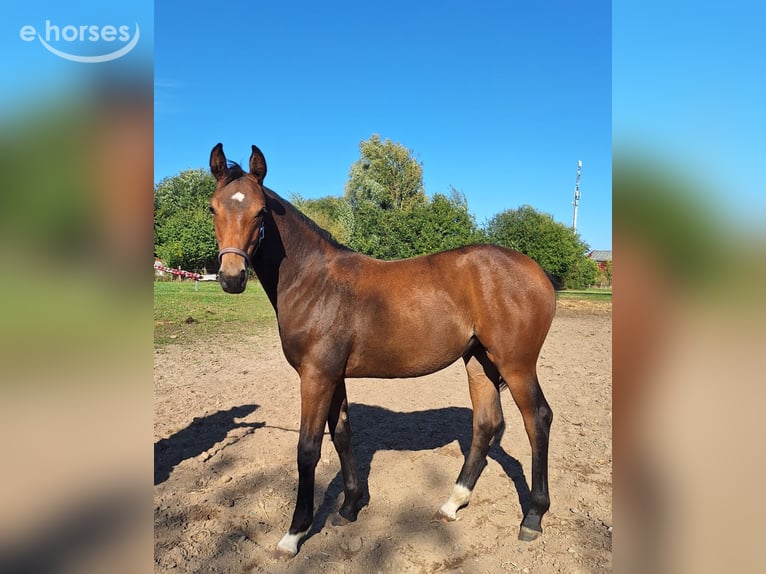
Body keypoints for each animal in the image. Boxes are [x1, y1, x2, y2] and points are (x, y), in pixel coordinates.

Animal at [208, 143, 556, 557]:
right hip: (479, 361)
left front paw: (295, 533)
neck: (315, 282)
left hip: (516, 364)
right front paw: (350, 506)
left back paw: (532, 517)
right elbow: (342, 434)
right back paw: (453, 502)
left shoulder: (316, 375)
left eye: (260, 211)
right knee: (487, 423)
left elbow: (308, 448)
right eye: (212, 208)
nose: (231, 278)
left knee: (538, 420)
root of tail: (537, 273)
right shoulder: (334, 375)